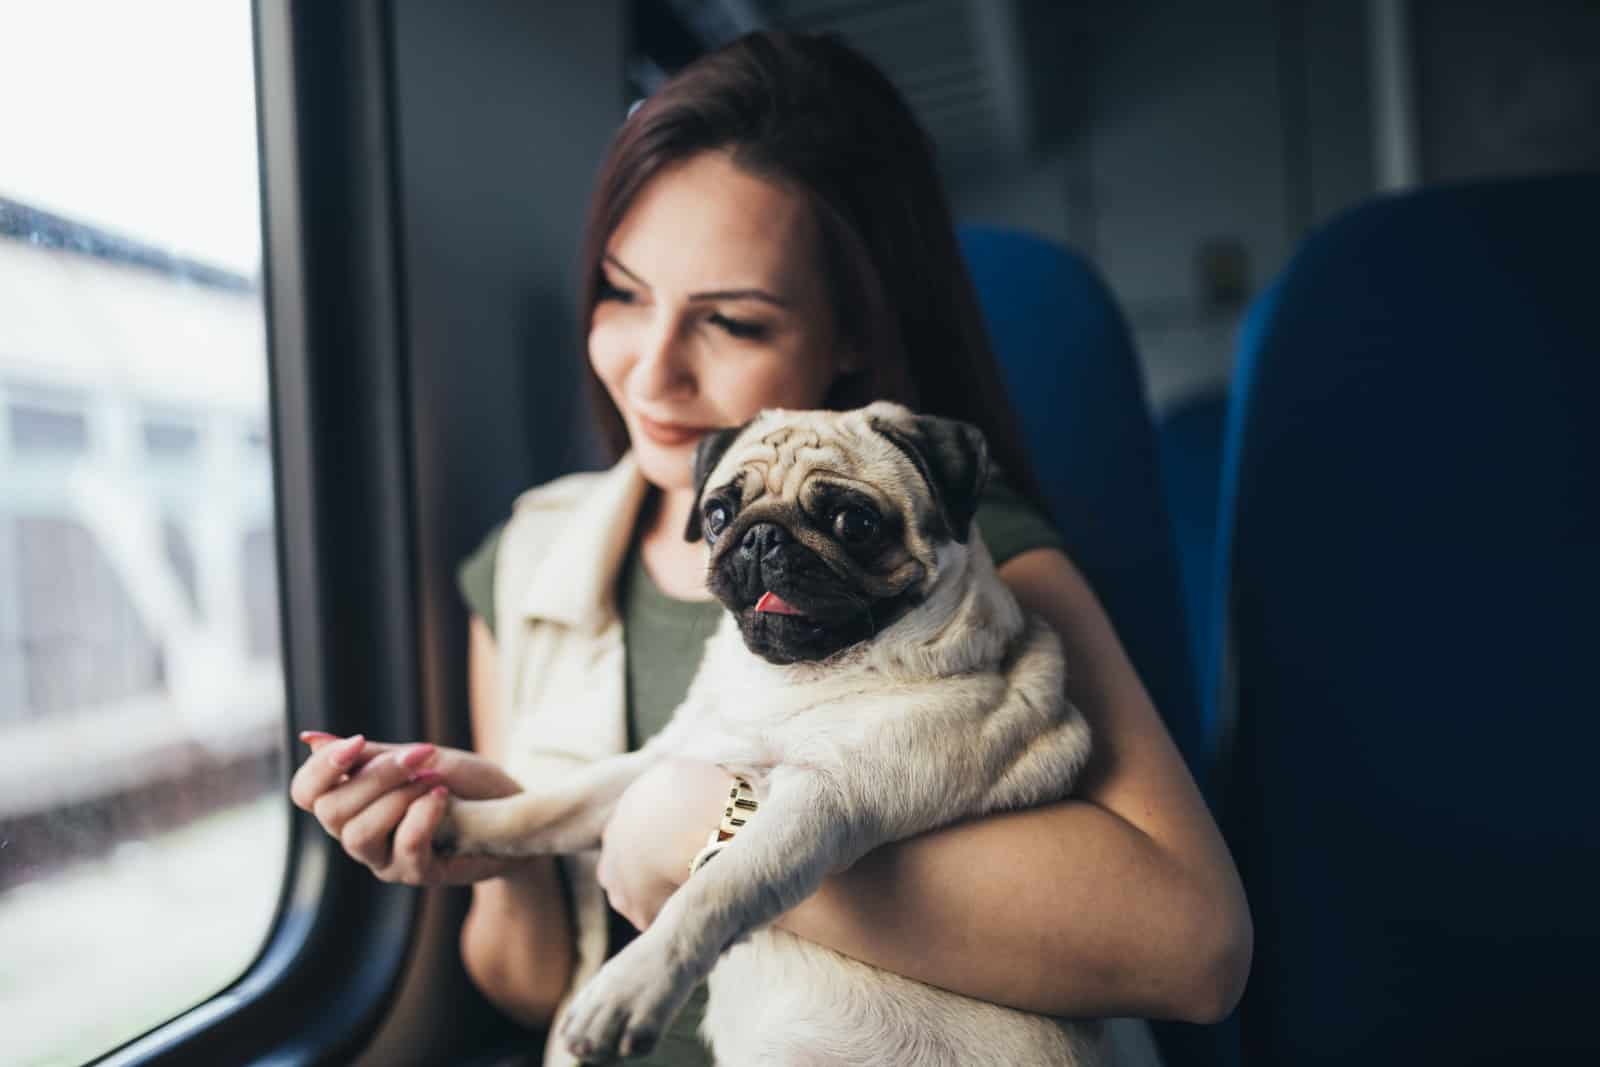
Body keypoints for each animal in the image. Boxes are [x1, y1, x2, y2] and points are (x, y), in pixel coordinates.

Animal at [444, 403, 1107, 1067]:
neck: (790, 681)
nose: (760, 537)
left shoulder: (822, 804)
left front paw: (632, 985)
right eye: (717, 515)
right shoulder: (668, 758)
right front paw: (459, 821)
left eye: (854, 523)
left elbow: (714, 891)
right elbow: (551, 805)